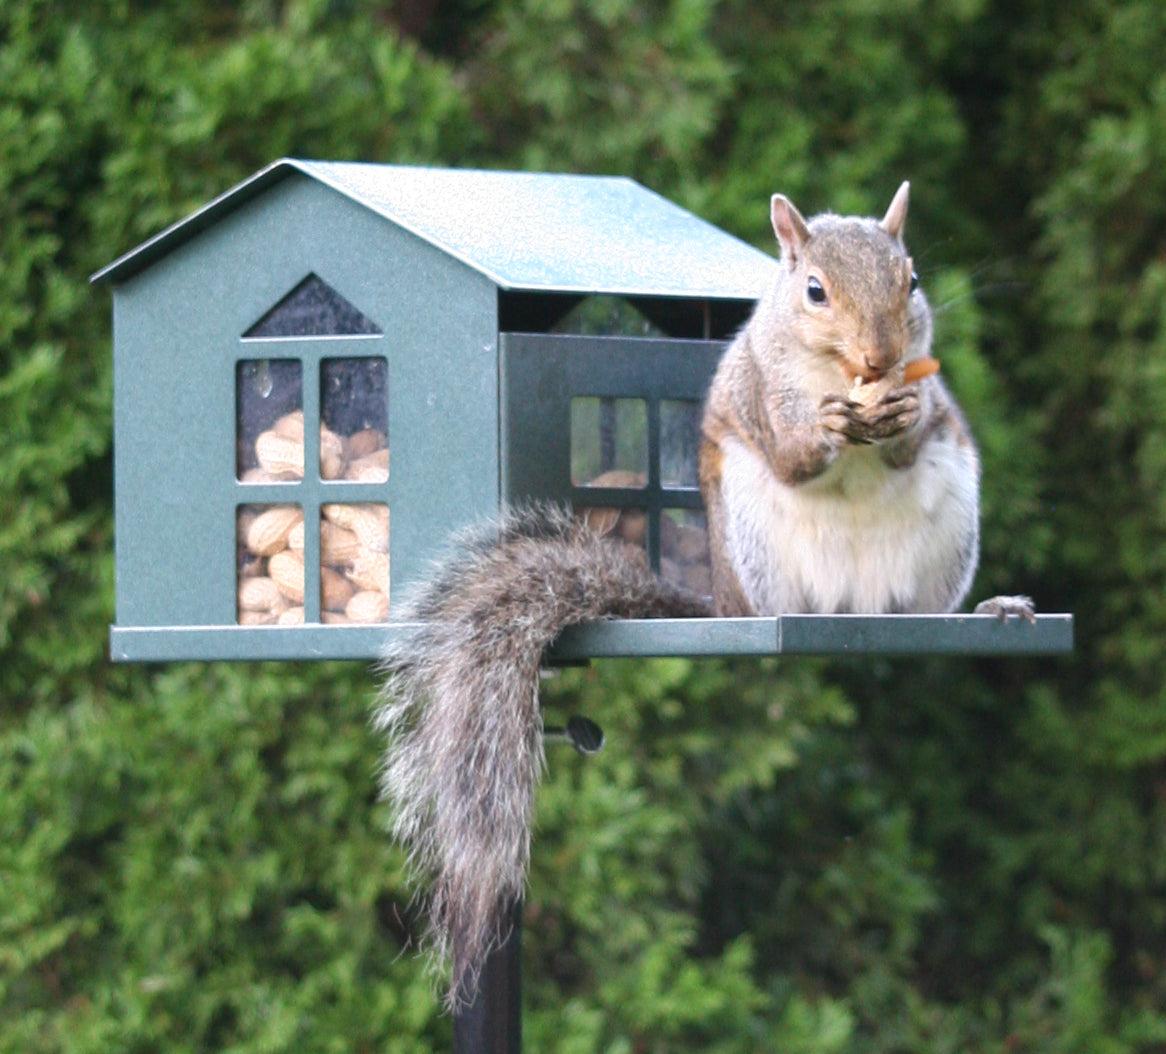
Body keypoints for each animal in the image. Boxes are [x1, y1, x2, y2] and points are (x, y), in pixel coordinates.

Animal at [375, 181, 1033, 1011]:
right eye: (814, 290)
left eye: (910, 280)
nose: (881, 358)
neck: (838, 376)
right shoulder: (759, 396)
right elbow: (794, 453)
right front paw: (824, 431)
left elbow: (914, 432)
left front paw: (904, 414)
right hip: (752, 539)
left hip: (946, 526)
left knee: (924, 610)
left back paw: (985, 610)